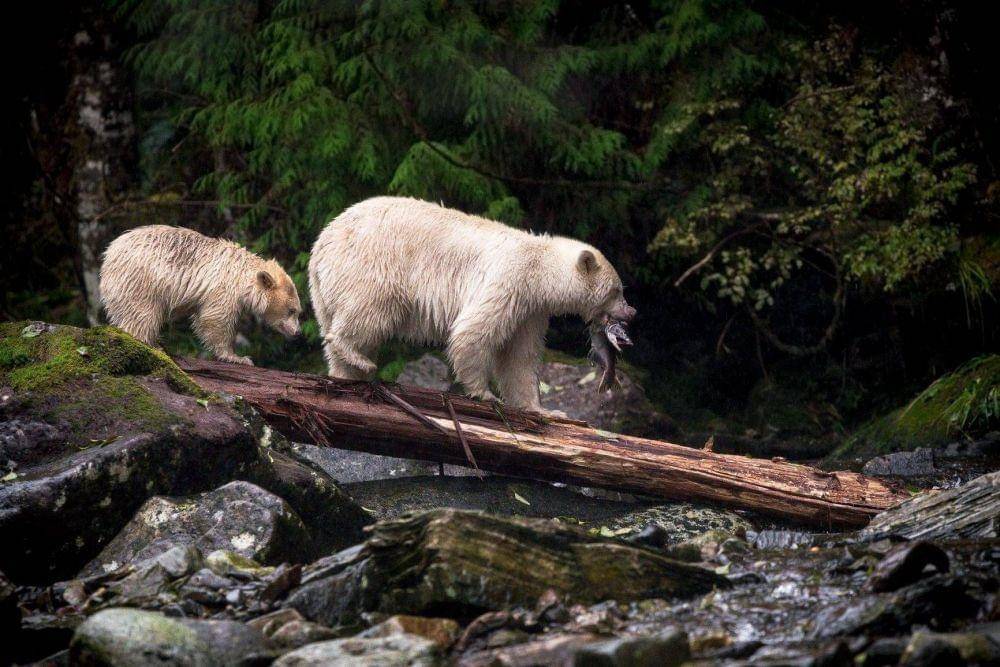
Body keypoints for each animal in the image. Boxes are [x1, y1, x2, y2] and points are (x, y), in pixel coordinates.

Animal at [100, 225, 302, 365]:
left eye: (298, 311)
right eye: (292, 310)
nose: (298, 332)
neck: (242, 276)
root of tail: (108, 256)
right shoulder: (224, 289)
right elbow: (216, 319)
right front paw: (238, 357)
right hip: (141, 281)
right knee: (142, 313)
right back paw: (152, 344)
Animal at [308, 196, 635, 412]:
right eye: (616, 290)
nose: (631, 311)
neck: (540, 268)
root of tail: (321, 245)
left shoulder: (531, 311)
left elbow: (519, 358)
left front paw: (543, 409)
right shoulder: (510, 280)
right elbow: (473, 332)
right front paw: (484, 394)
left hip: (326, 291)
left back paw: (347, 373)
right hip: (372, 264)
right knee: (369, 313)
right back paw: (358, 358)